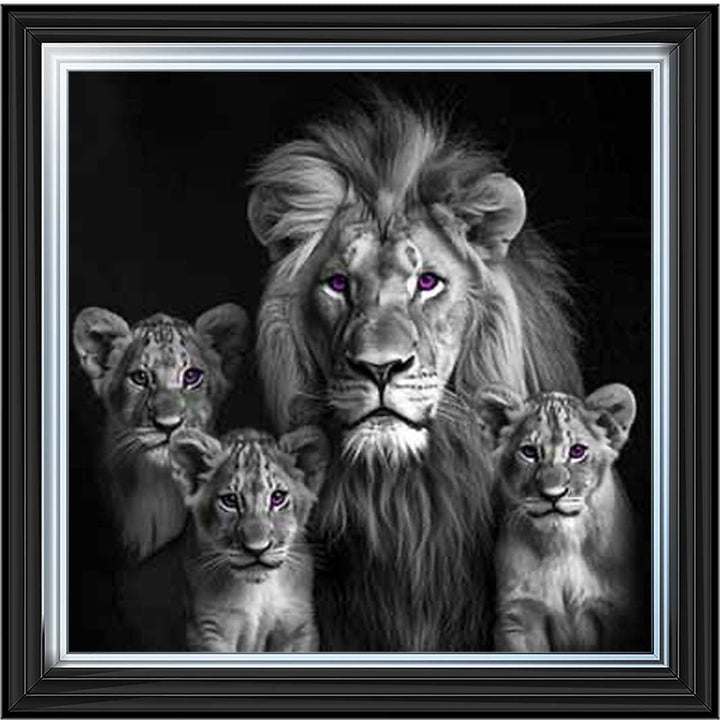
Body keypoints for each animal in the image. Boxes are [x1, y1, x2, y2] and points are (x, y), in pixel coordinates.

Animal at [169, 426, 328, 652]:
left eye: (277, 497)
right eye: (230, 500)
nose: (257, 549)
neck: (258, 590)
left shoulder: (298, 626)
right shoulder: (208, 630)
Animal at [476, 383, 637, 652]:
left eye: (577, 451)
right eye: (529, 452)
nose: (553, 494)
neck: (562, 543)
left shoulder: (618, 612)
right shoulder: (519, 615)